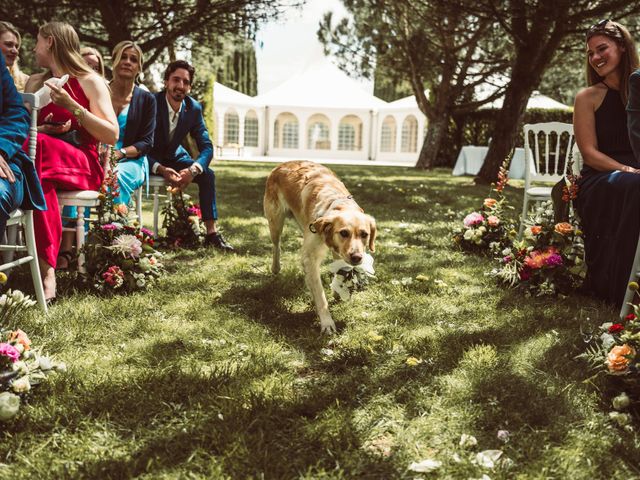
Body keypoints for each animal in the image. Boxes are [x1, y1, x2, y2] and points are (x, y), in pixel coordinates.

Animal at [264, 161, 378, 334]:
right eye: (344, 233)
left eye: (364, 234)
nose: (357, 258)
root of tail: (282, 164)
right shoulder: (310, 257)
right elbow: (320, 294)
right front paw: (327, 322)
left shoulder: (339, 254)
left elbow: (340, 273)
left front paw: (338, 291)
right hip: (275, 222)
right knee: (276, 247)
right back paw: (276, 267)